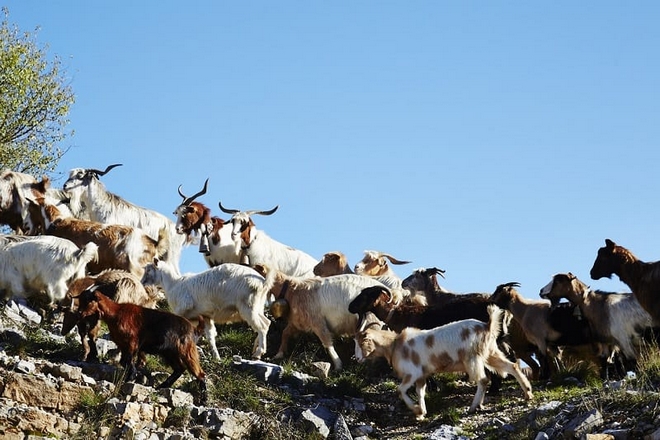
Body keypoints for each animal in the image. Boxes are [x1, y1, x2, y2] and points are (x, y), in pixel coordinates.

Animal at [141, 260, 274, 360]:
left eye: (148, 270)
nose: (142, 282)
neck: (174, 284)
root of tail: (263, 282)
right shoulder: (206, 316)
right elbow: (210, 336)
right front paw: (216, 357)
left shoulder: (182, 310)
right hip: (257, 307)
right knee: (267, 323)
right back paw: (256, 349)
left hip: (248, 306)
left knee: (262, 326)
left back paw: (258, 353)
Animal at [354, 304, 532, 418]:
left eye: (361, 342)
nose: (356, 358)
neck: (395, 345)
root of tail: (486, 326)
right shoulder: (421, 376)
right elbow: (420, 391)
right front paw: (422, 412)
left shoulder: (412, 374)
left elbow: (400, 390)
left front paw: (416, 410)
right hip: (490, 353)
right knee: (512, 366)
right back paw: (527, 394)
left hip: (472, 358)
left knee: (483, 380)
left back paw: (473, 407)